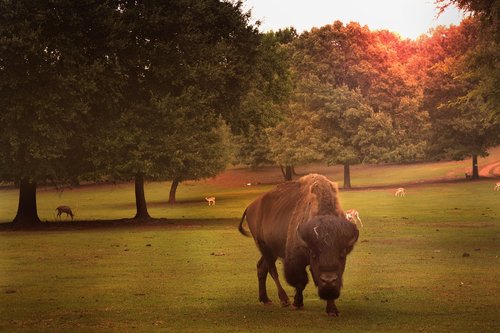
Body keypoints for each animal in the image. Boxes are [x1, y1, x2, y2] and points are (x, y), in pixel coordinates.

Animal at [239, 172, 360, 316]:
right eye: (314, 255)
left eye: (342, 254)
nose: (328, 280)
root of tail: (250, 206)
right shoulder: (295, 260)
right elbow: (300, 282)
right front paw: (297, 303)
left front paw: (332, 309)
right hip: (264, 246)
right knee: (272, 271)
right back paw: (284, 300)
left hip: (272, 250)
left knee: (261, 267)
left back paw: (265, 299)